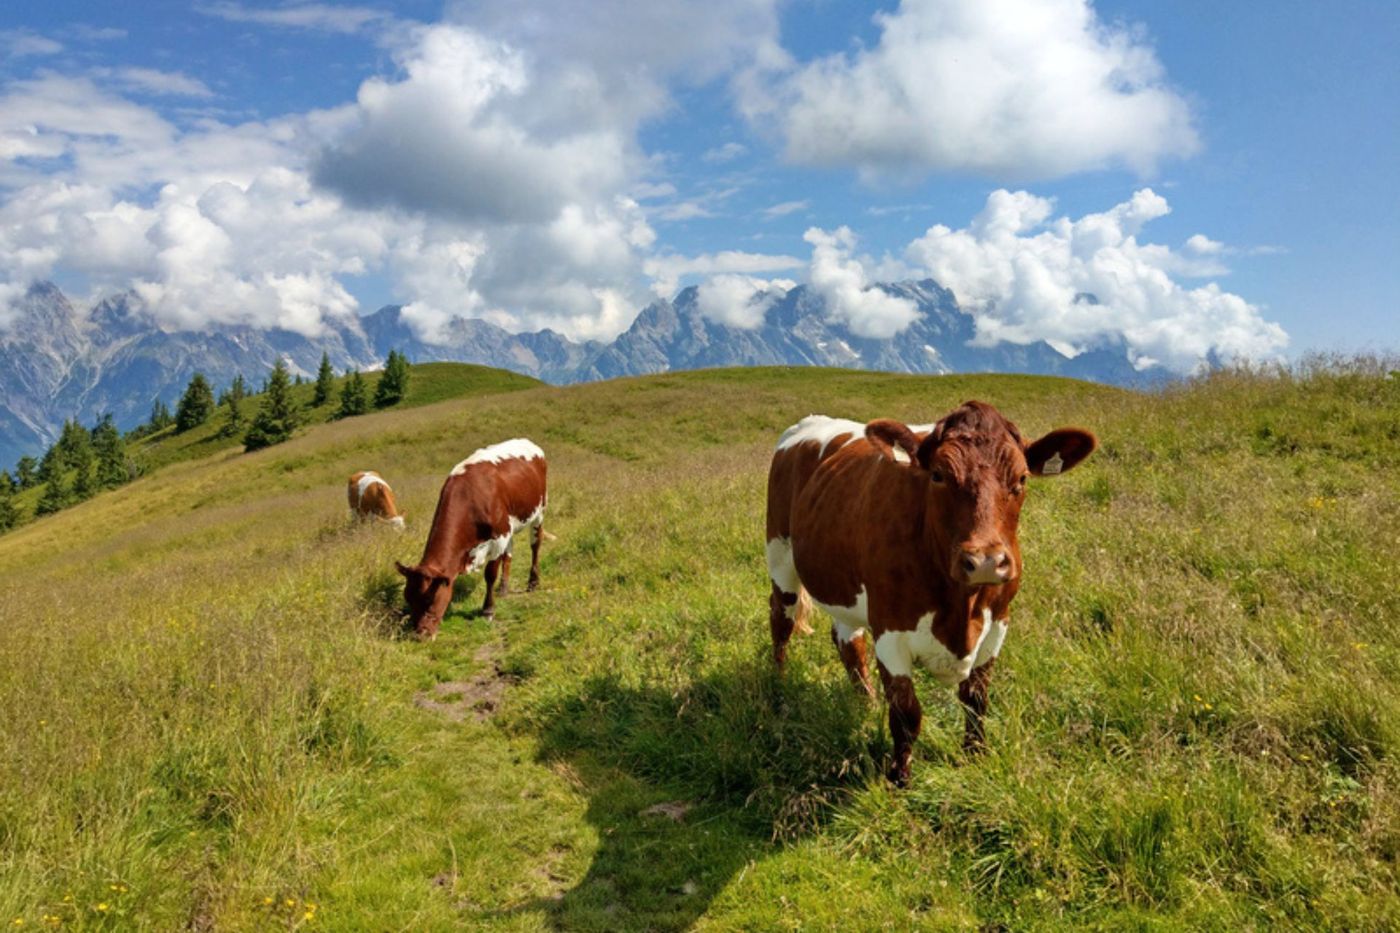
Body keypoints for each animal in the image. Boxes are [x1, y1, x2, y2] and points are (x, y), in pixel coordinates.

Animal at [396, 438, 548, 639]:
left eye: (430, 600)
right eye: (408, 598)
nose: (420, 635)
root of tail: (528, 442)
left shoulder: (498, 537)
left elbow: (490, 574)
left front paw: (488, 610)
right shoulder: (503, 532)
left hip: (539, 512)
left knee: (535, 546)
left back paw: (533, 582)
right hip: (511, 526)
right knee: (509, 554)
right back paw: (503, 588)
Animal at [766, 402, 1096, 785]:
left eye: (1022, 478)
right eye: (938, 475)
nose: (985, 562)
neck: (961, 606)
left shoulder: (998, 623)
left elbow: (976, 700)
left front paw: (975, 757)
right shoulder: (890, 628)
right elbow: (906, 714)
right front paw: (900, 779)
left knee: (848, 640)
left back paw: (866, 702)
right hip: (780, 559)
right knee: (781, 622)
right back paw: (779, 690)